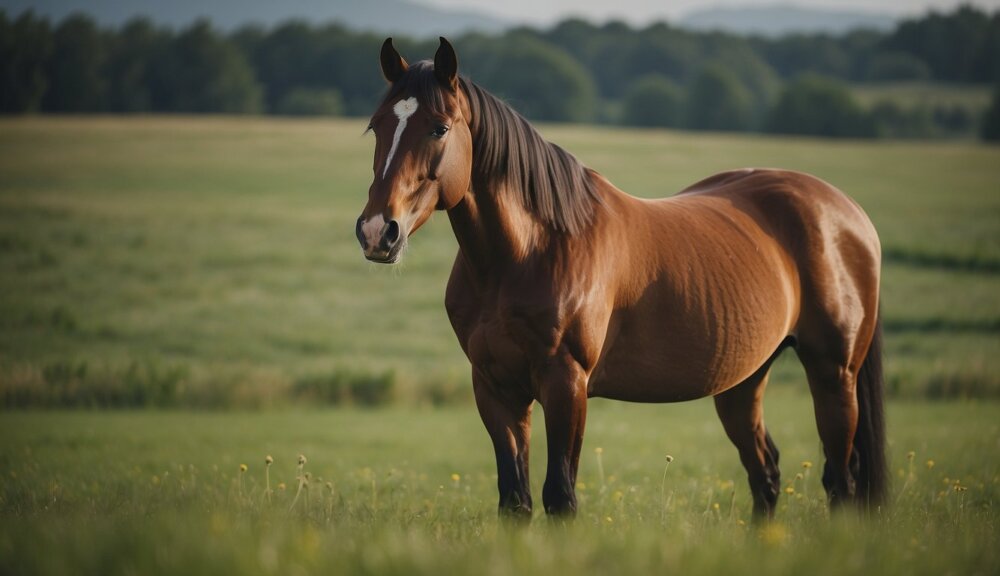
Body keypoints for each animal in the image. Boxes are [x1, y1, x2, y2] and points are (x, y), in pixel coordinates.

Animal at [356, 37, 888, 520]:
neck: (528, 252)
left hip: (833, 374)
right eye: (377, 126)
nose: (378, 231)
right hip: (743, 380)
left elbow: (559, 497)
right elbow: (515, 501)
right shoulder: (495, 388)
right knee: (767, 474)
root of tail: (848, 213)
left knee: (841, 480)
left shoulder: (566, 385)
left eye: (439, 127)